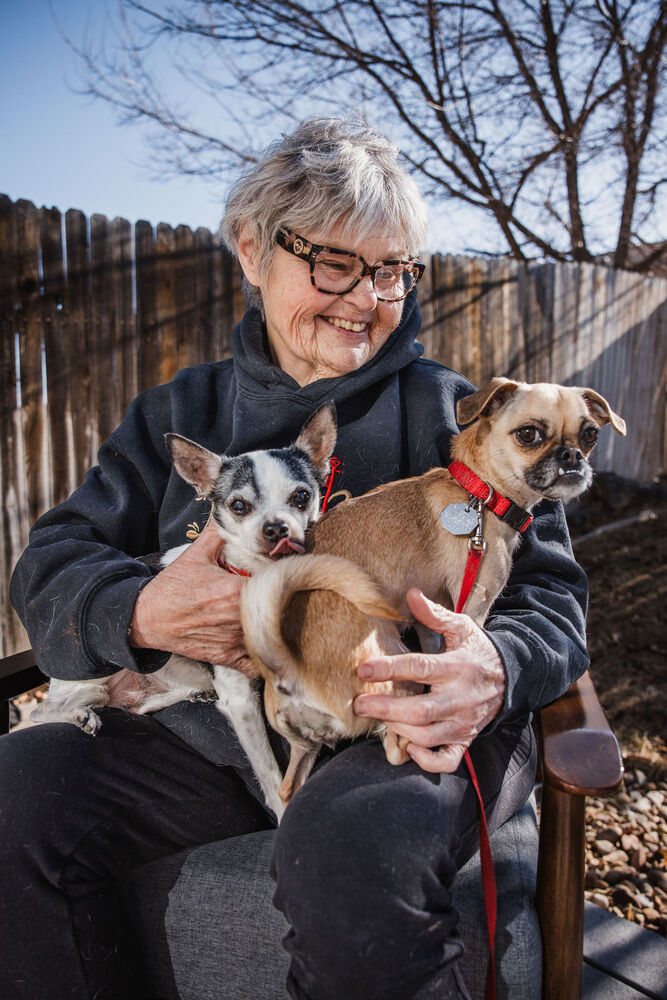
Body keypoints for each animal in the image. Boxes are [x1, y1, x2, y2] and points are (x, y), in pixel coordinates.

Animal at [241, 376, 628, 804]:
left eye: (590, 434)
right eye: (529, 434)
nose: (572, 455)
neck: (482, 495)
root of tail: (287, 666)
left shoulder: (432, 619)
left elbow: (440, 650)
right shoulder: (471, 609)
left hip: (304, 751)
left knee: (288, 788)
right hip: (396, 674)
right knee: (396, 746)